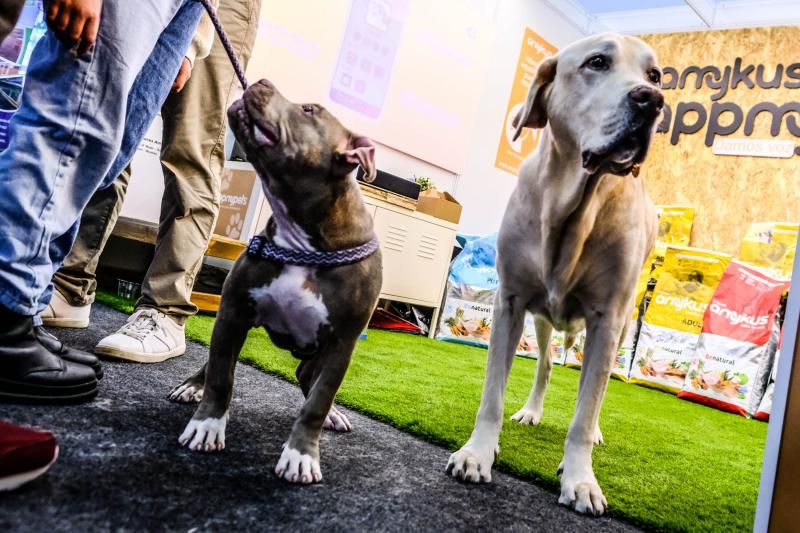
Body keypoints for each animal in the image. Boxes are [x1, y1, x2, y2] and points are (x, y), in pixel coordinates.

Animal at [168, 78, 382, 482]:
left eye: (309, 110)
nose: (262, 81)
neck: (303, 238)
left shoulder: (341, 344)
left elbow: (318, 401)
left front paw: (302, 454)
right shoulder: (233, 311)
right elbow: (221, 376)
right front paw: (207, 426)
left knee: (308, 377)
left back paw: (333, 414)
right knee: (219, 362)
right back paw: (191, 386)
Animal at [450, 33, 664, 516]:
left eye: (655, 74)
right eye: (597, 62)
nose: (653, 100)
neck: (571, 211)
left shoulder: (608, 319)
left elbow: (583, 415)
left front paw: (581, 479)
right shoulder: (509, 303)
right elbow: (491, 396)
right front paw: (477, 452)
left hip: (622, 327)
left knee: (593, 389)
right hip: (542, 317)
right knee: (546, 364)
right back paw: (531, 411)